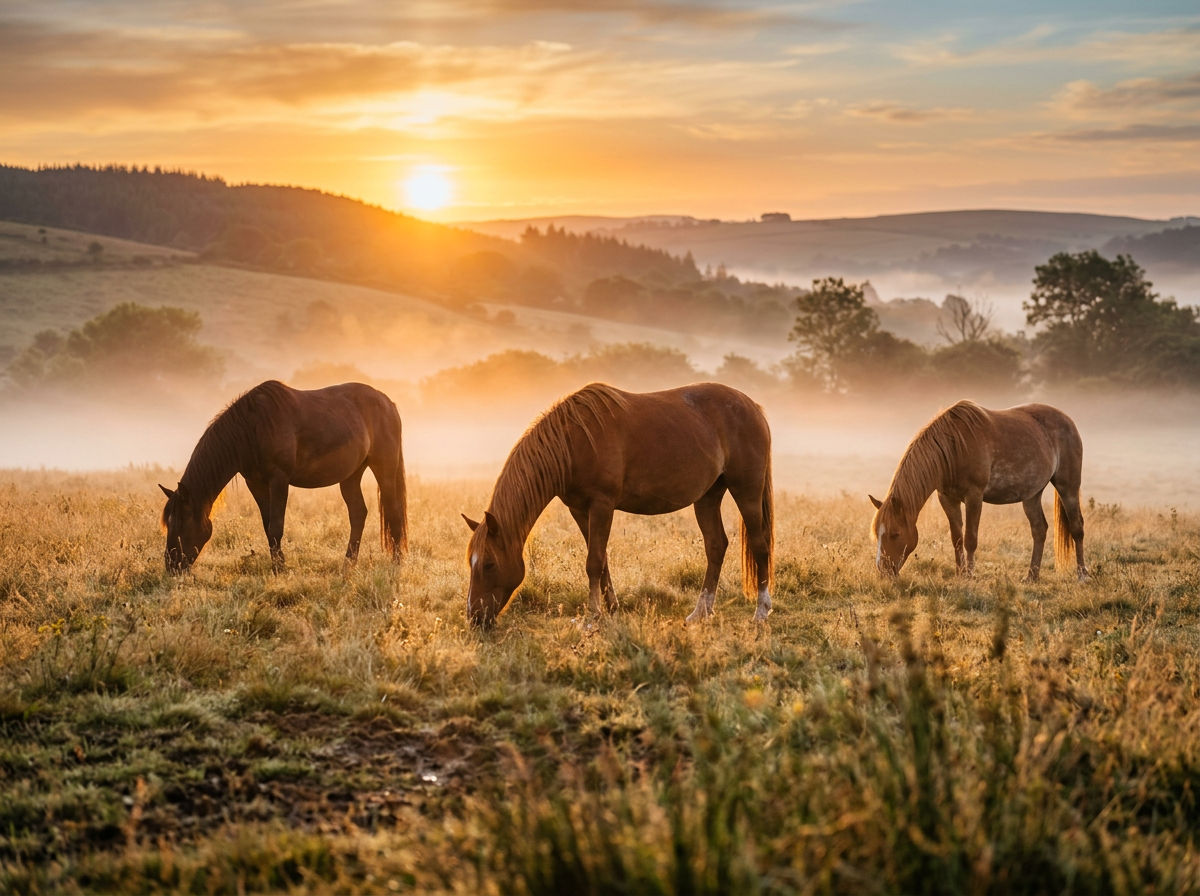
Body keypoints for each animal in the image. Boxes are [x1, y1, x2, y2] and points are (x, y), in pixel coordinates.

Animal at [160, 380, 407, 572]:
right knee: (358, 514)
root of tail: (389, 404)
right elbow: (267, 526)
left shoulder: (279, 480)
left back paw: (396, 563)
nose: (171, 565)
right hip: (351, 475)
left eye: (182, 522)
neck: (252, 428)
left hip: (384, 468)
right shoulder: (256, 484)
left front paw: (280, 569)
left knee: (393, 513)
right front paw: (278, 564)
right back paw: (348, 564)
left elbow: (276, 526)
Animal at [462, 382, 774, 627]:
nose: (474, 617)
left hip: (746, 491)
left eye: (488, 564)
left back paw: (761, 612)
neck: (573, 442)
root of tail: (753, 407)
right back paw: (701, 612)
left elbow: (593, 562)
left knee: (759, 545)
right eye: (471, 562)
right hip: (708, 497)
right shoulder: (579, 510)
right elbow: (601, 560)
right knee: (716, 546)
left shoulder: (602, 505)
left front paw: (592, 617)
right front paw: (611, 608)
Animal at [869, 400, 1087, 582]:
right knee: (1039, 530)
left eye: (895, 534)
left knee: (1077, 528)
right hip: (1032, 495)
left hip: (1068, 487)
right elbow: (957, 539)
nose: (883, 570)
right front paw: (960, 573)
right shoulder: (947, 498)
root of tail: (1068, 420)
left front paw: (970, 575)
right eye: (877, 534)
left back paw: (1082, 574)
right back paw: (1032, 576)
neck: (954, 448)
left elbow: (970, 539)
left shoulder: (974, 496)